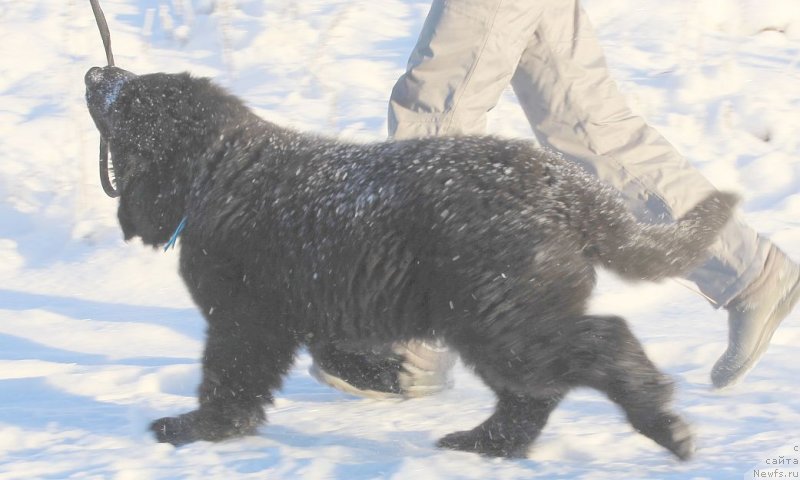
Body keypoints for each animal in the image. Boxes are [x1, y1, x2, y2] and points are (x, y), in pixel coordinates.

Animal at [83, 65, 736, 460]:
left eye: (131, 100)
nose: (95, 73)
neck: (220, 173)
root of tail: (563, 184)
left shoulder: (245, 317)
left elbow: (230, 377)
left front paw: (196, 429)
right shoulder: (310, 304)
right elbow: (334, 350)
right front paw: (387, 376)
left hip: (502, 315)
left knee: (599, 344)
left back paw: (662, 422)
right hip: (492, 318)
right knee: (535, 391)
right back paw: (486, 442)